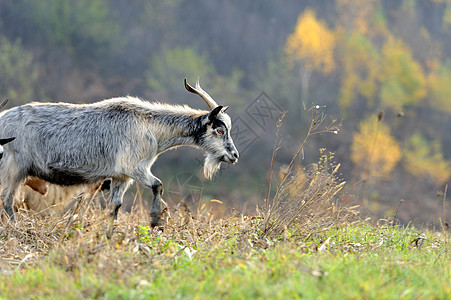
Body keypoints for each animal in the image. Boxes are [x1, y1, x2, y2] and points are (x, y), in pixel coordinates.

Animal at [0, 78, 240, 232]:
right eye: (220, 130)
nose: (234, 156)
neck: (150, 127)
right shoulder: (134, 167)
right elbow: (158, 184)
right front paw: (156, 220)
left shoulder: (120, 177)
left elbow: (115, 206)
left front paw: (109, 233)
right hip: (13, 168)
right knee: (7, 199)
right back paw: (15, 227)